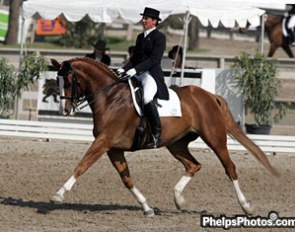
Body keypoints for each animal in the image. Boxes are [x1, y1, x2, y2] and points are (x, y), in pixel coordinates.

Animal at [51, 57, 280, 216]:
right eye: (57, 80)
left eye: (69, 81)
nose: (64, 110)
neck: (111, 98)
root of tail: (209, 95)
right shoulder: (113, 148)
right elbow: (126, 179)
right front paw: (146, 207)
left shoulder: (103, 142)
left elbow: (82, 165)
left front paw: (58, 194)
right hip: (176, 144)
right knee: (193, 165)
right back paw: (179, 199)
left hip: (215, 139)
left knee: (229, 168)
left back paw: (246, 206)